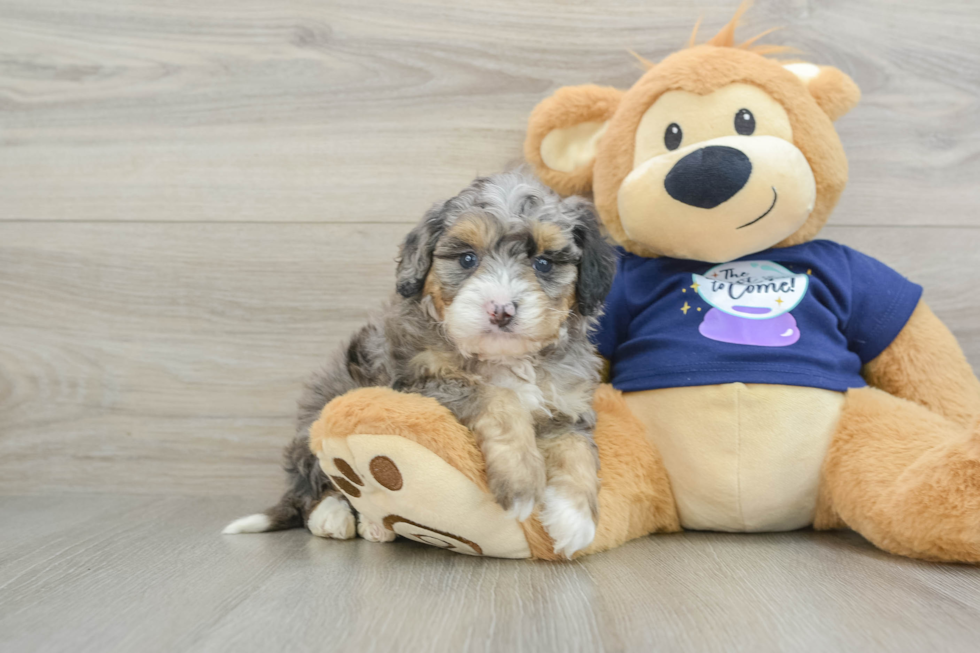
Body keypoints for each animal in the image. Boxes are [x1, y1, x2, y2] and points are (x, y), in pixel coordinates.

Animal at [226, 172, 616, 556]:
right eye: (467, 259)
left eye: (544, 263)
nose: (501, 310)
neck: (504, 358)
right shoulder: (420, 382)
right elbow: (499, 397)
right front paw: (521, 481)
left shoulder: (568, 405)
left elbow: (577, 449)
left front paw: (575, 518)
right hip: (319, 414)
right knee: (315, 485)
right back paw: (337, 516)